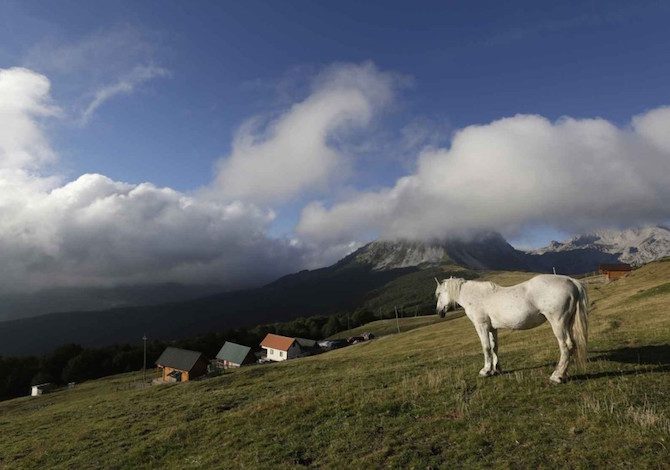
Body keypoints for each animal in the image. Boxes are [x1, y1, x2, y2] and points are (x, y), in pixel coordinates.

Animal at [436, 276, 588, 382]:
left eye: (439, 294)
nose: (439, 312)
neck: (476, 296)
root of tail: (571, 281)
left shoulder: (481, 326)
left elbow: (486, 347)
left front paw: (485, 371)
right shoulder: (492, 328)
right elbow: (494, 347)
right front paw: (496, 369)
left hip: (558, 323)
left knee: (566, 346)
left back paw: (557, 376)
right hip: (568, 323)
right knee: (572, 345)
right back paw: (563, 374)